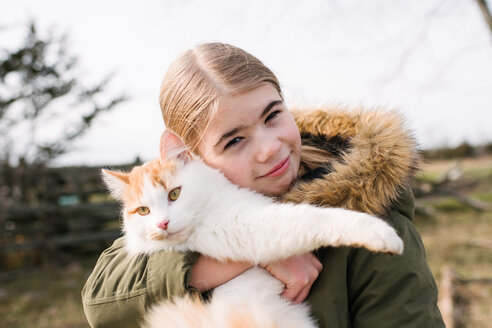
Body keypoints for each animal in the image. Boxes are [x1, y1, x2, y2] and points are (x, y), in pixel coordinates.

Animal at [101, 131, 404, 328]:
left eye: (174, 194)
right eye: (144, 211)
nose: (162, 224)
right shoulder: (251, 228)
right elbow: (315, 218)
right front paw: (382, 234)